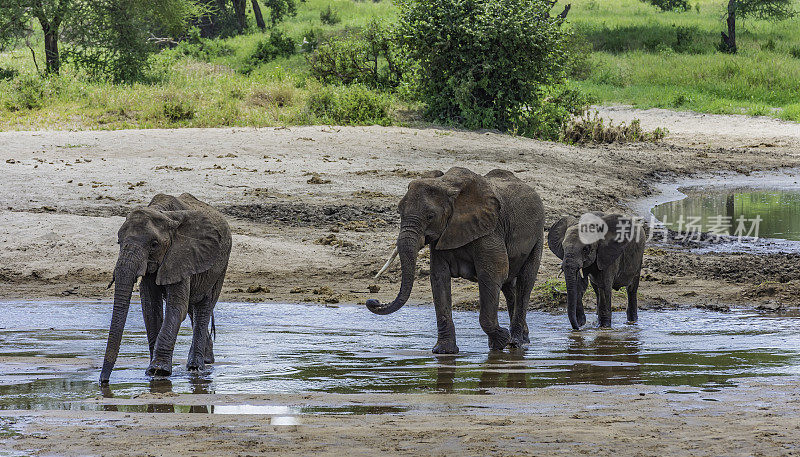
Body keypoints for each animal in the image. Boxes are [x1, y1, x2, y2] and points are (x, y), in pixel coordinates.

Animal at [99, 191, 231, 382]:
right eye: (118, 242)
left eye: (154, 245)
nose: (103, 381)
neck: (162, 213)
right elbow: (150, 308)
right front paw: (153, 372)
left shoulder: (181, 255)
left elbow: (176, 309)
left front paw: (158, 370)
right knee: (192, 309)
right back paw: (207, 360)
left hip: (220, 266)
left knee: (203, 307)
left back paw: (196, 367)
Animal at [368, 167, 544, 352]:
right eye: (399, 212)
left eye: (430, 216)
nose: (374, 301)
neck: (447, 186)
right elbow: (439, 278)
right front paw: (444, 351)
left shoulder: (490, 231)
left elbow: (491, 275)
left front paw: (501, 340)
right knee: (509, 286)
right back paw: (519, 340)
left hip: (538, 235)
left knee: (525, 281)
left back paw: (516, 342)